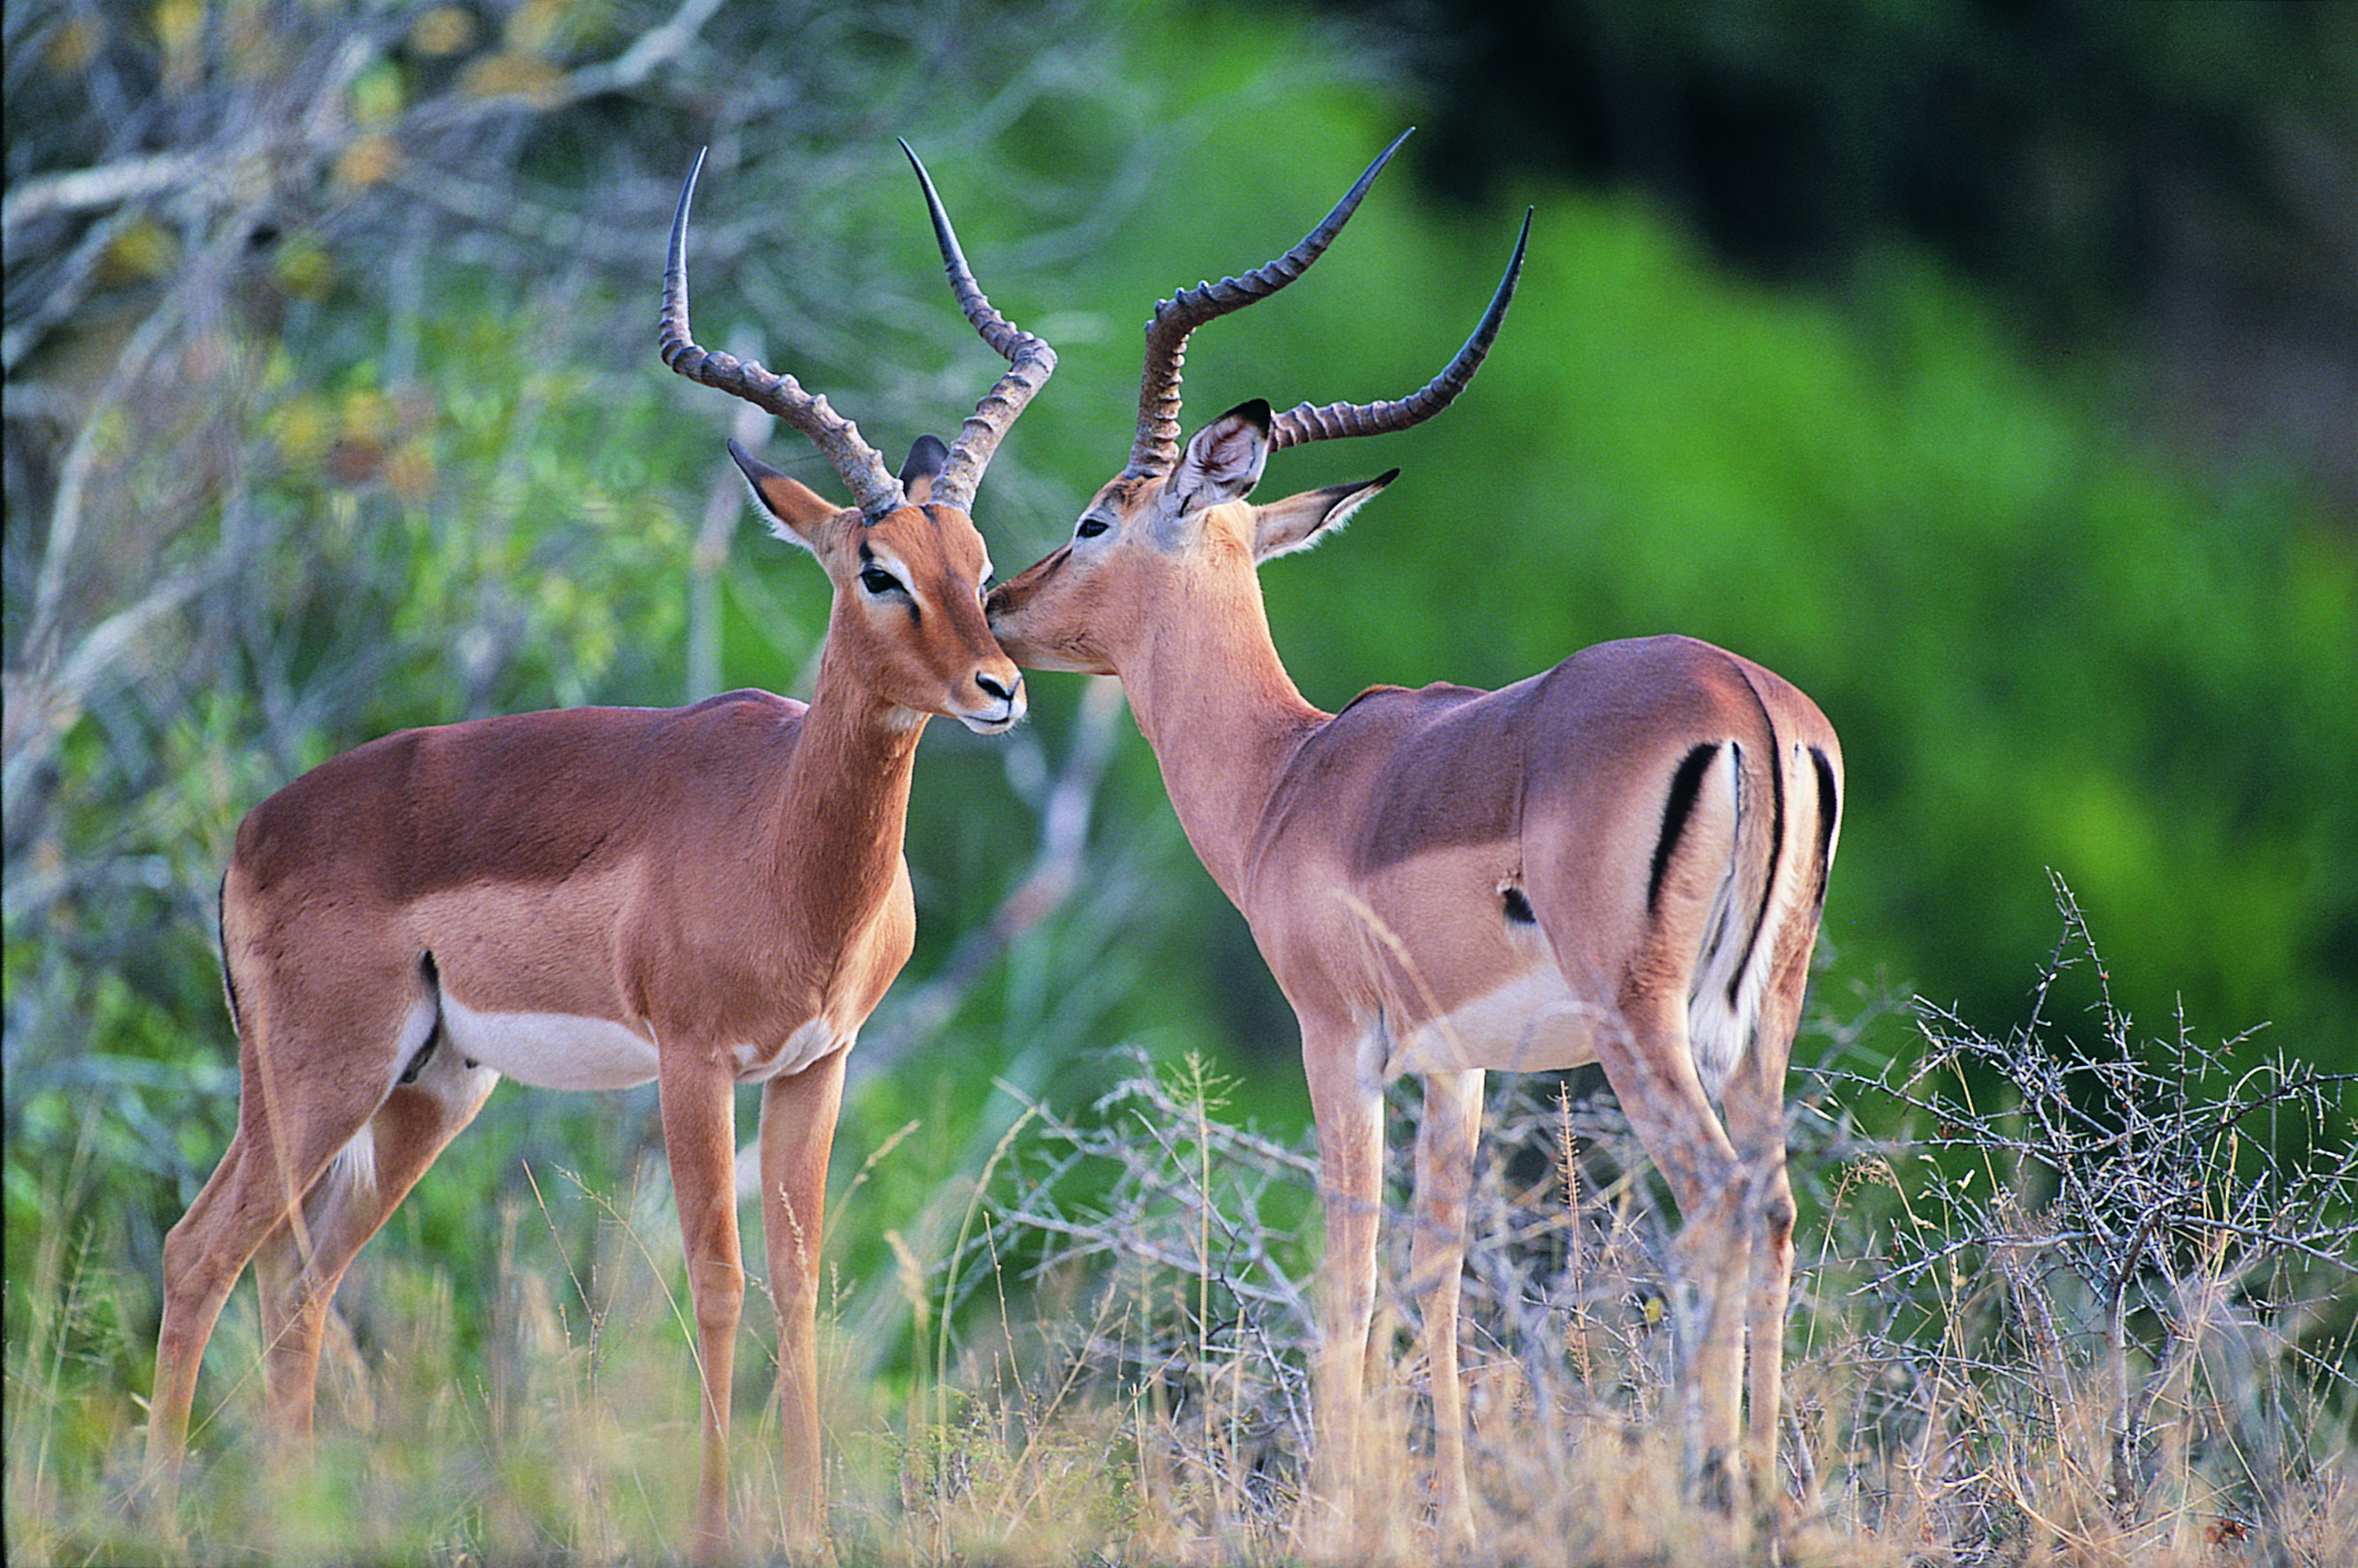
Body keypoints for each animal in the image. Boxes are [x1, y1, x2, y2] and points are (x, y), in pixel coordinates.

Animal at [144, 144, 1051, 1556]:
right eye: (876, 569)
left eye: (979, 557)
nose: (998, 688)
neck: (782, 837)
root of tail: (254, 829)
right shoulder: (692, 1065)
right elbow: (719, 1281)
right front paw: (719, 1527)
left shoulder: (816, 1065)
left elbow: (801, 1283)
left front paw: (809, 1524)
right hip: (313, 1076)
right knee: (200, 1256)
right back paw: (163, 1516)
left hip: (431, 1088)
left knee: (300, 1277)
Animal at [976, 131, 1839, 1537]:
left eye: (1099, 516)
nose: (997, 603)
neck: (1288, 771)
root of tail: (1750, 705)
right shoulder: (1461, 1065)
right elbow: (1436, 1282)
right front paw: (1457, 1516)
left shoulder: (1341, 1042)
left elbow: (1351, 1282)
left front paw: (1341, 1512)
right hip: (1760, 1017)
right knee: (1769, 1204)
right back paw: (1760, 1495)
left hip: (1641, 1024)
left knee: (1720, 1202)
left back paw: (1716, 1491)